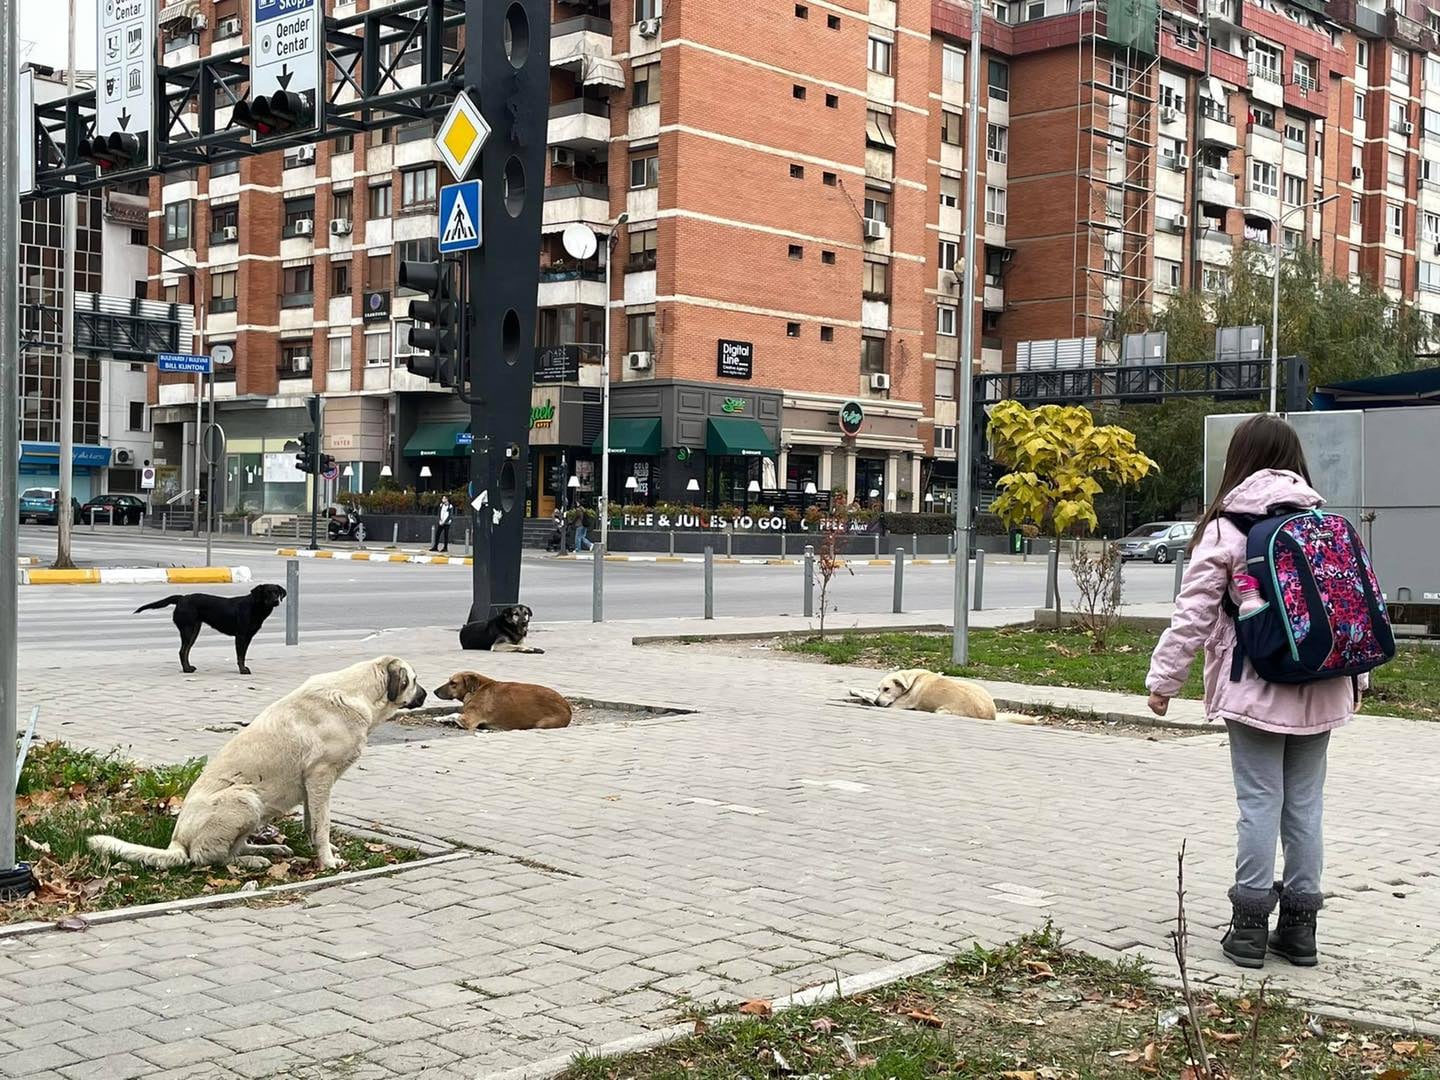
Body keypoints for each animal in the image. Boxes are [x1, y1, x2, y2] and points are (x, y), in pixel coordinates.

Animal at [87, 656, 426, 875]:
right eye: (414, 680)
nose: (426, 694)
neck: (359, 693)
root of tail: (176, 843)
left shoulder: (310, 786)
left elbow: (312, 824)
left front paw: (322, 851)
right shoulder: (320, 777)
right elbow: (323, 826)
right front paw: (328, 862)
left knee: (231, 849)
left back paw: (268, 850)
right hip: (245, 799)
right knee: (207, 859)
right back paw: (252, 862)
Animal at [136, 584, 288, 676]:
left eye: (277, 592)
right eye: (267, 592)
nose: (276, 601)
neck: (255, 607)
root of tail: (182, 598)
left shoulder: (248, 636)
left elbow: (243, 655)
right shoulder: (241, 636)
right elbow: (240, 656)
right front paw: (243, 670)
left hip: (194, 630)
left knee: (186, 651)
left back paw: (189, 667)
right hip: (188, 629)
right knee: (182, 651)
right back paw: (186, 670)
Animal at [432, 673, 573, 731]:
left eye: (453, 683)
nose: (434, 691)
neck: (477, 689)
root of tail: (568, 708)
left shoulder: (468, 720)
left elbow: (454, 714)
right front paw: (441, 718)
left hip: (542, 724)